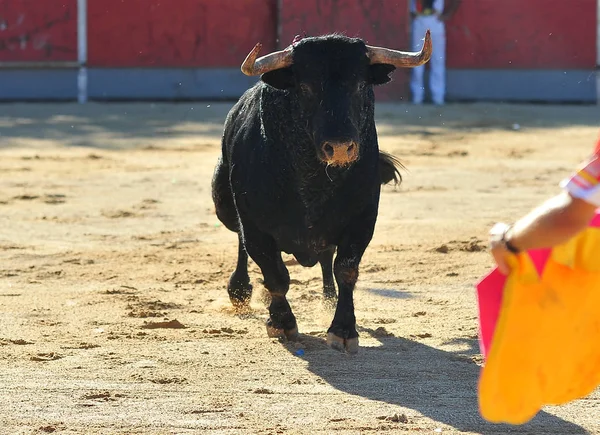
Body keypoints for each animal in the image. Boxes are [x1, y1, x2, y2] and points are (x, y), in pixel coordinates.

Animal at [212, 33, 432, 354]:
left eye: (360, 84)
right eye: (305, 87)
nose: (339, 147)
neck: (314, 182)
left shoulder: (362, 220)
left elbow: (346, 270)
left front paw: (343, 329)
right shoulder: (255, 225)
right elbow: (275, 274)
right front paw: (282, 323)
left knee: (326, 257)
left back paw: (328, 298)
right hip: (225, 206)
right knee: (240, 242)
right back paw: (240, 291)